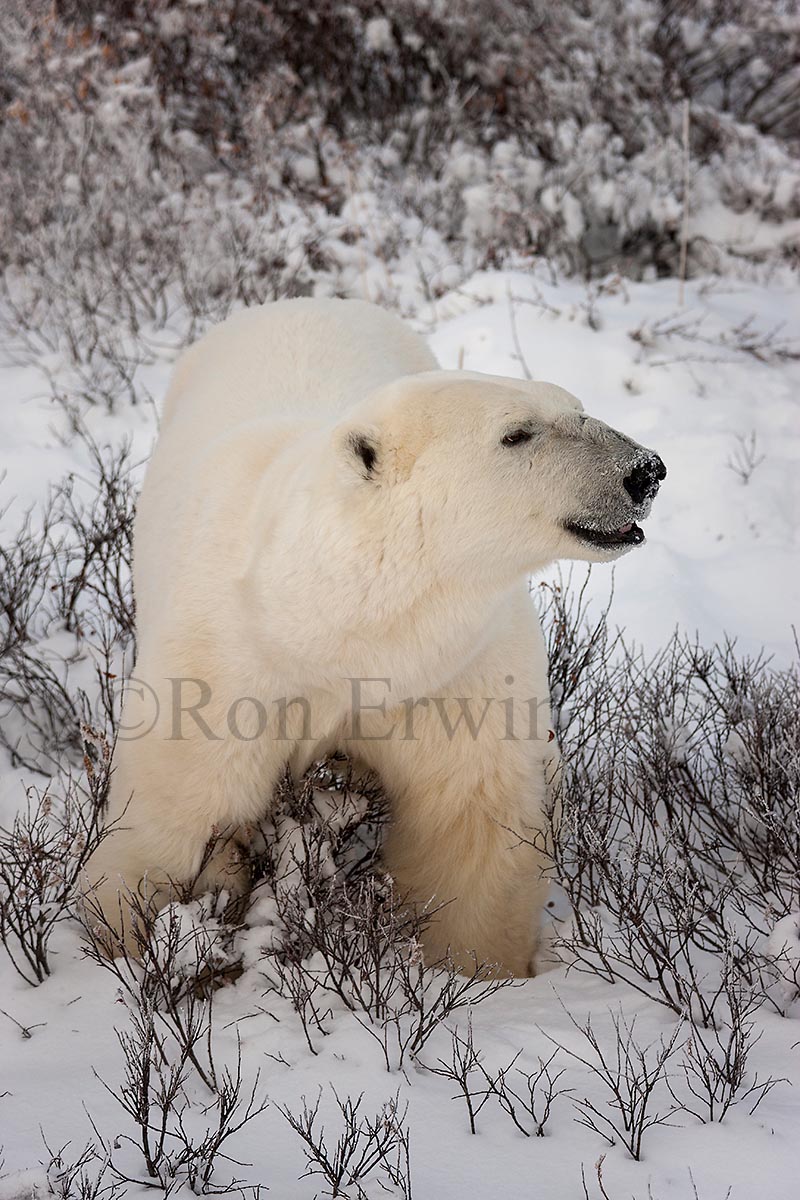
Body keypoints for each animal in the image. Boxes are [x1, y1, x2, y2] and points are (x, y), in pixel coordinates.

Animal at [84, 297, 665, 977]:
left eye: (576, 406)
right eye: (517, 432)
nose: (645, 470)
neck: (336, 625)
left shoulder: (452, 671)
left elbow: (468, 825)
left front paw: (475, 968)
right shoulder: (226, 663)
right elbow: (174, 811)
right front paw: (128, 942)